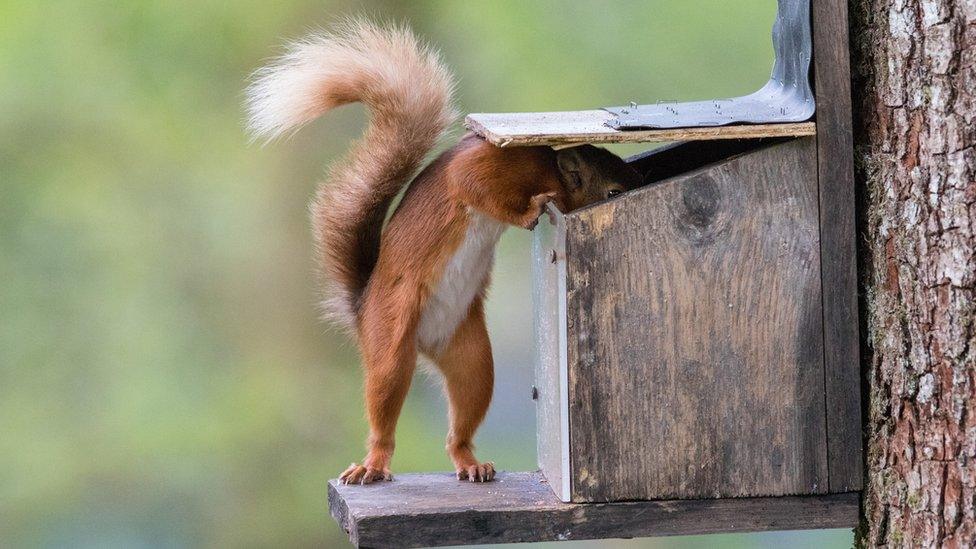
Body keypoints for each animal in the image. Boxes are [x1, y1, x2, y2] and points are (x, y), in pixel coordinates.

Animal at [248, 20, 636, 484]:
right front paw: (532, 211)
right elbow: (474, 186)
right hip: (390, 341)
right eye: (612, 191)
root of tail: (364, 308)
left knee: (461, 421)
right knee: (384, 408)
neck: (553, 171)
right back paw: (372, 464)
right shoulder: (497, 167)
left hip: (472, 359)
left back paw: (472, 464)